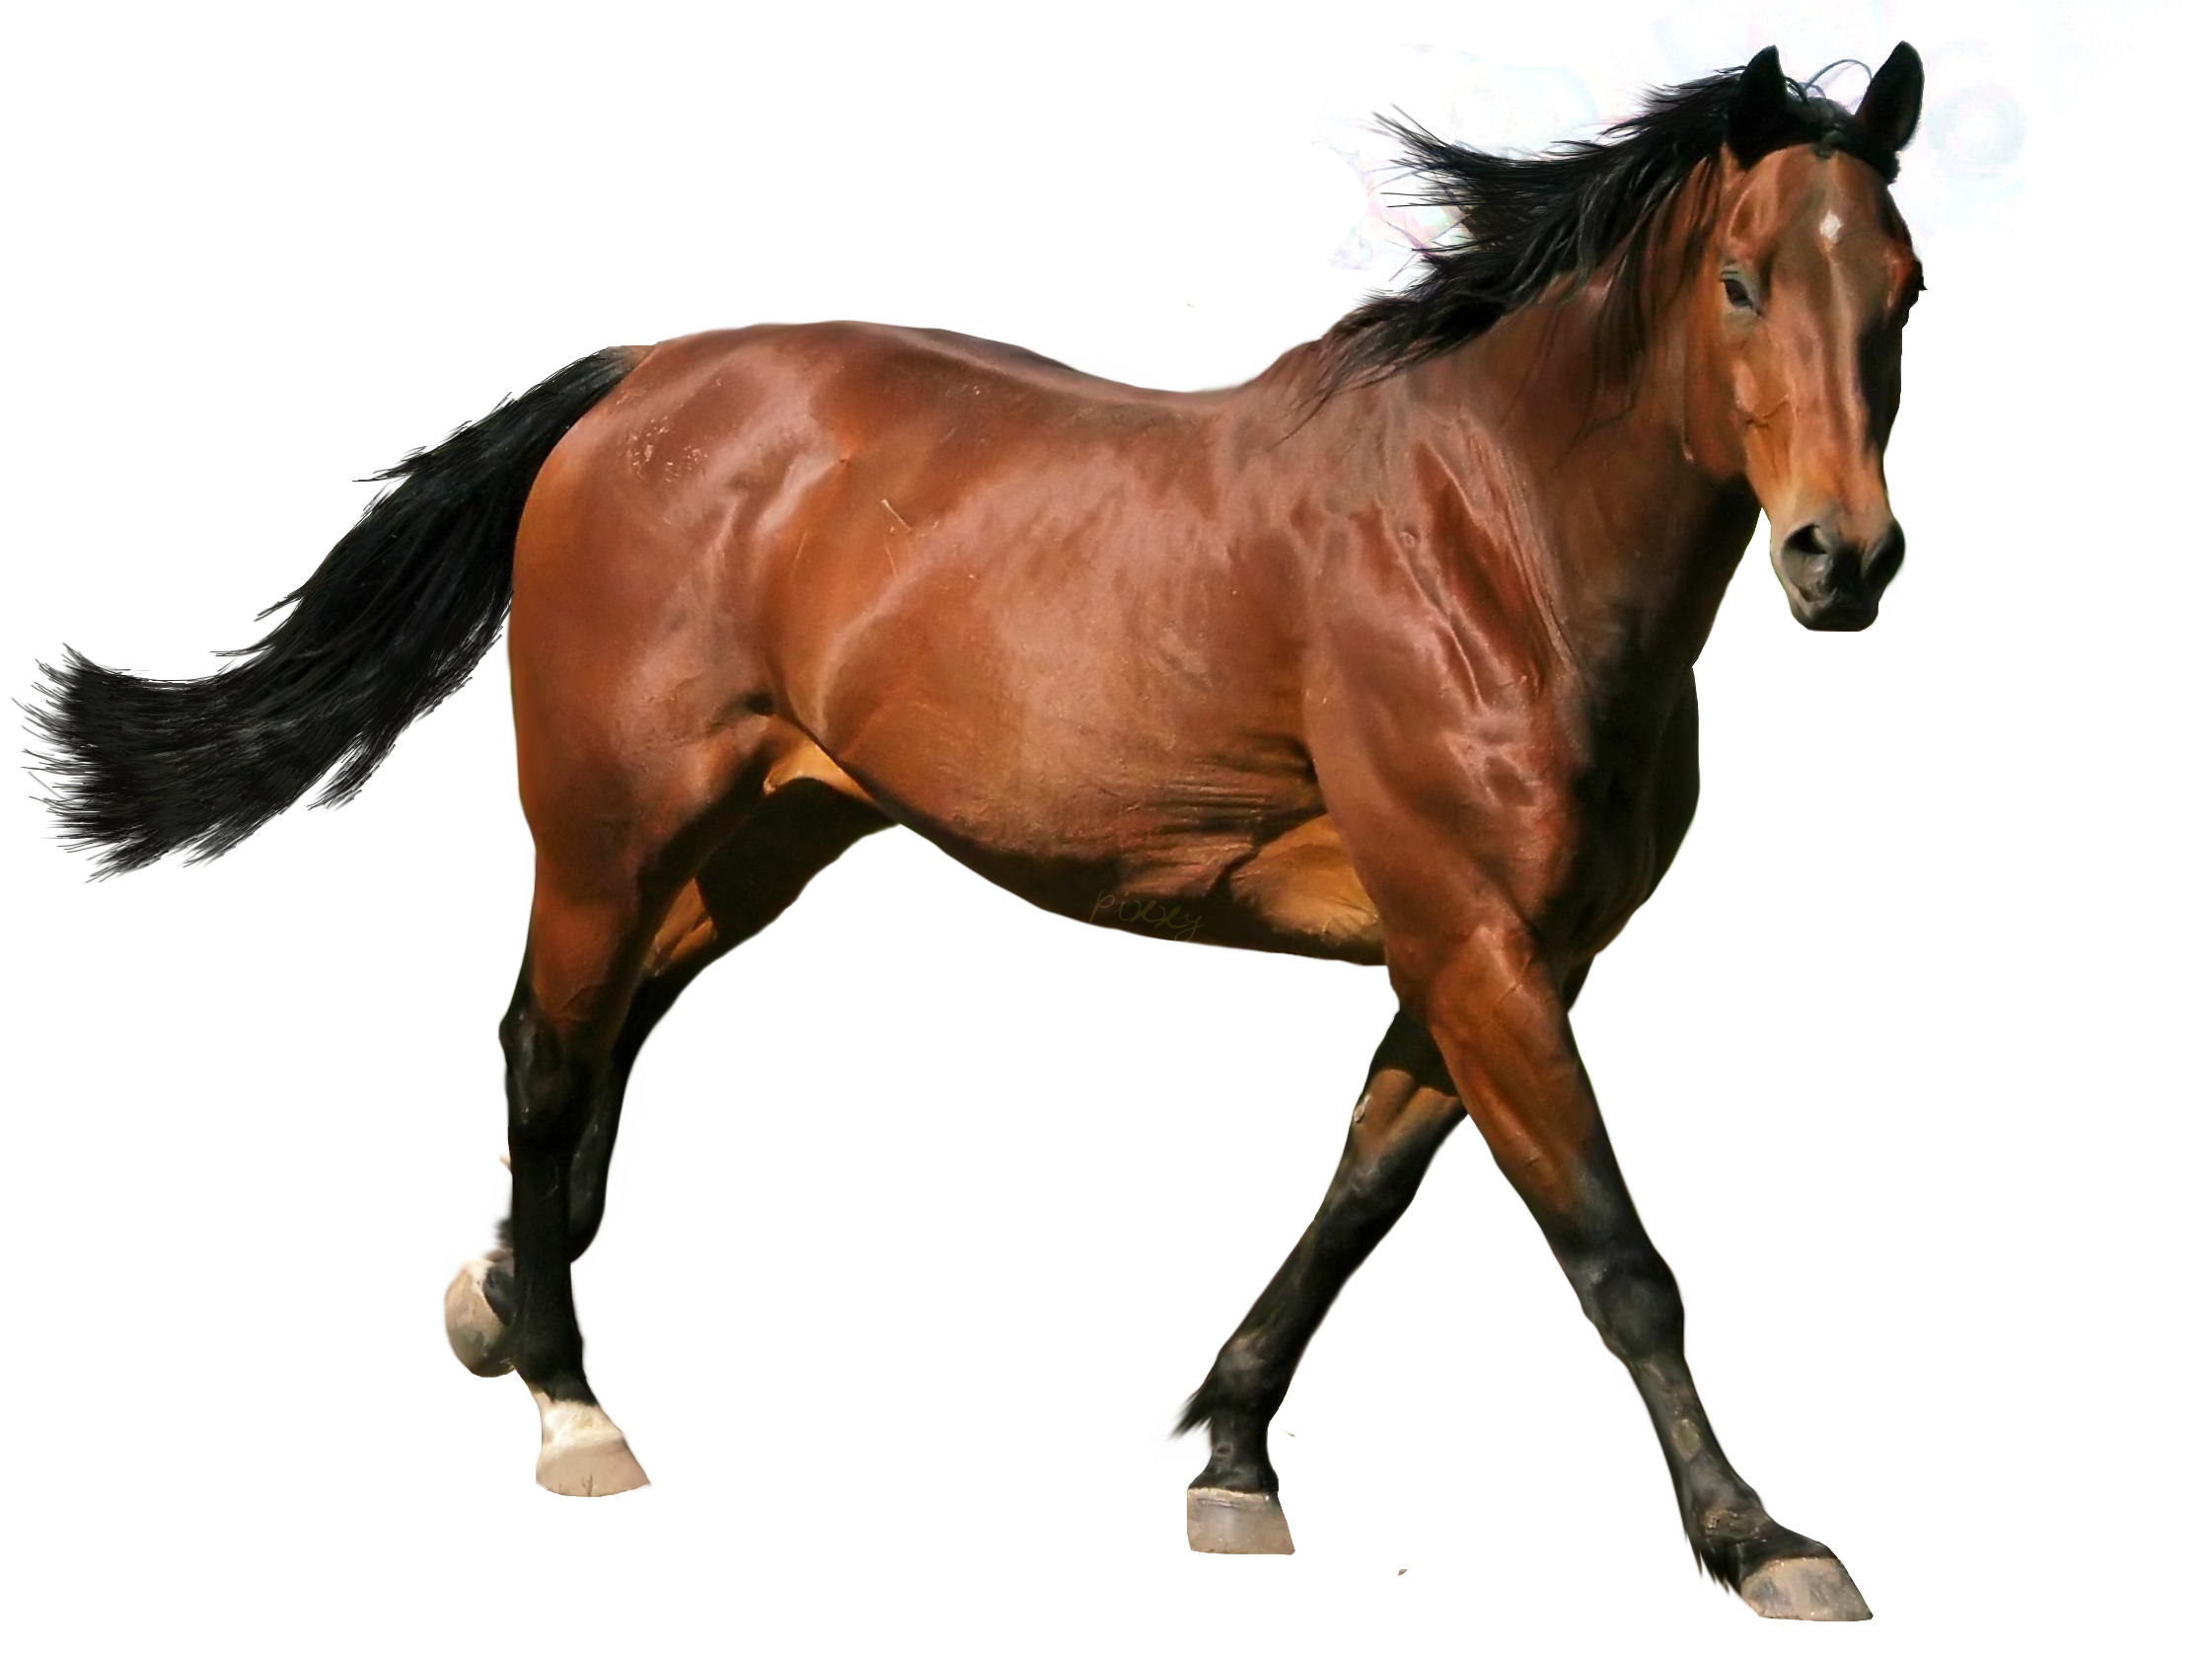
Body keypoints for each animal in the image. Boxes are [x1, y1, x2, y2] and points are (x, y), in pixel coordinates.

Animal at [16, 44, 1925, 1621]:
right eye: (1743, 280)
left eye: (1900, 288)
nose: (1845, 559)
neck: (1485, 540)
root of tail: (634, 385)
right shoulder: (1470, 936)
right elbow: (1612, 1249)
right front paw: (1762, 1541)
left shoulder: (1494, 955)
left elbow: (1360, 1197)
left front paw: (1223, 1450)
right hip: (612, 818)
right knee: (552, 1050)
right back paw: (571, 1404)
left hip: (762, 842)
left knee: (591, 1033)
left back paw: (489, 1293)